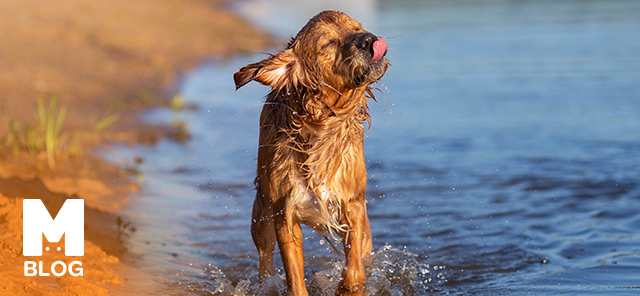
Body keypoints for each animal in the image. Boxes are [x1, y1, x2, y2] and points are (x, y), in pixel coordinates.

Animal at [232, 10, 388, 294]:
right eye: (328, 44)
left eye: (357, 27)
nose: (370, 39)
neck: (321, 127)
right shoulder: (285, 213)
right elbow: (295, 279)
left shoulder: (353, 203)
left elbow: (355, 269)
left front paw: (348, 287)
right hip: (261, 212)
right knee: (264, 258)